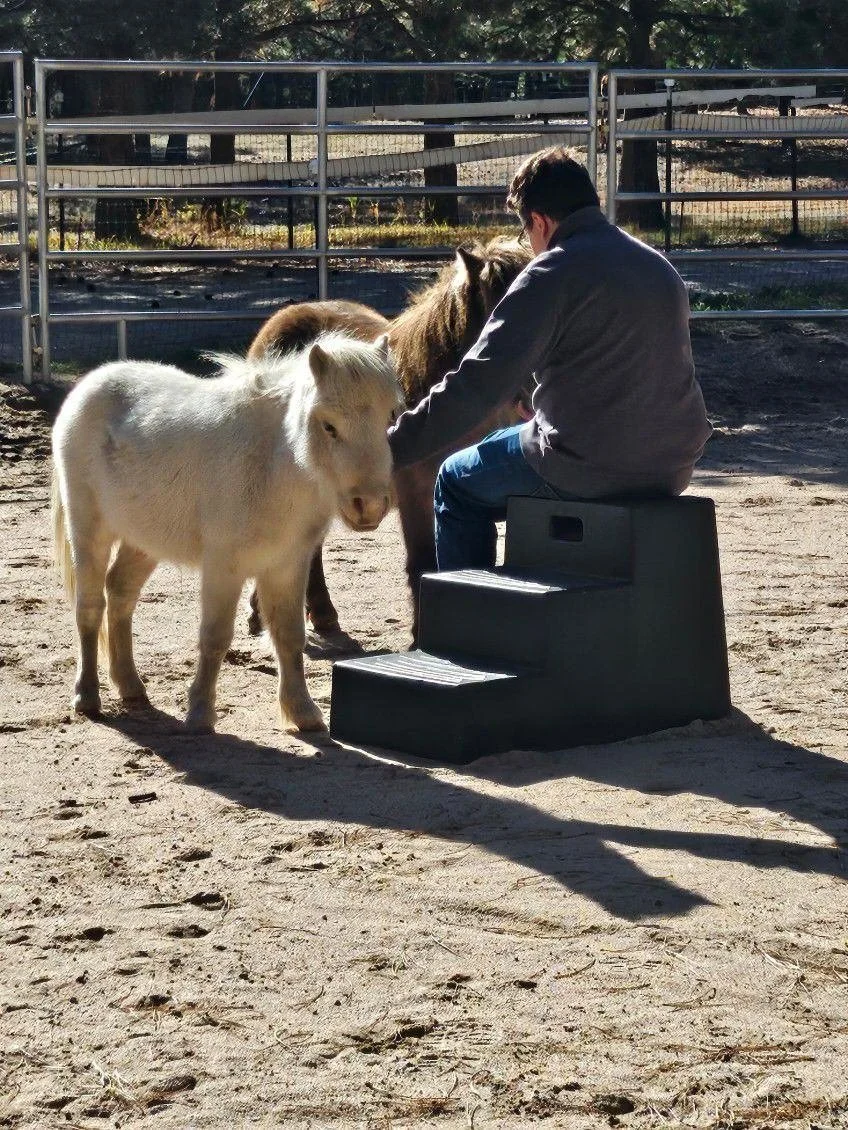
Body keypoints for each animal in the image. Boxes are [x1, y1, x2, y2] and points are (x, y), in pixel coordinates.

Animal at [51, 333, 402, 734]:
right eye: (328, 426)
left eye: (391, 416)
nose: (369, 506)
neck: (273, 464)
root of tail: (87, 387)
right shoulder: (224, 567)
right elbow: (215, 637)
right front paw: (201, 714)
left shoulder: (286, 566)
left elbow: (290, 635)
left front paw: (303, 712)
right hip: (89, 530)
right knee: (90, 605)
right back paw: (87, 697)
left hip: (143, 543)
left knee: (120, 593)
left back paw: (131, 687)